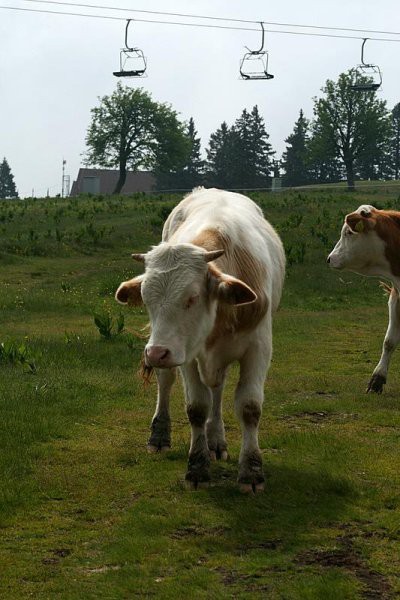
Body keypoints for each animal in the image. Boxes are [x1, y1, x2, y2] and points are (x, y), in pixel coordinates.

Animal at [115, 188, 284, 492]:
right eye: (146, 298)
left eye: (192, 297)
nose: (155, 353)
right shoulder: (187, 354)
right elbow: (197, 407)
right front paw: (197, 467)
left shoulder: (258, 347)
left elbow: (249, 407)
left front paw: (251, 470)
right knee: (167, 382)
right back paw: (160, 435)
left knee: (217, 389)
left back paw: (216, 440)